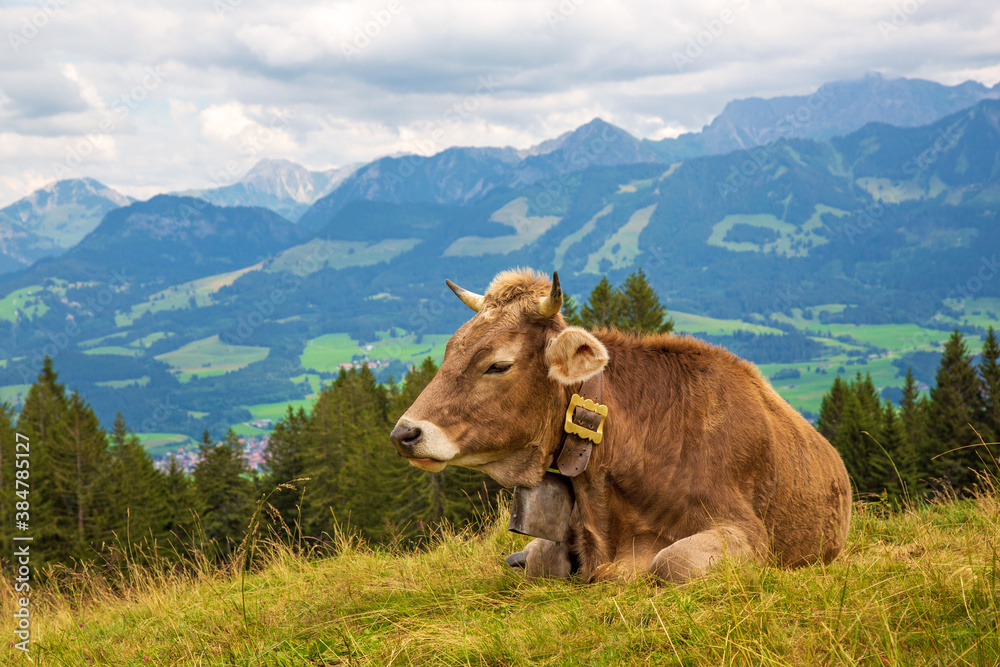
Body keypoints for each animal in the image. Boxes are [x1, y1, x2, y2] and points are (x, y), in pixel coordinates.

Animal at [386, 268, 848, 580]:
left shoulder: (749, 532)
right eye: (450, 349)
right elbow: (540, 558)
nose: (404, 433)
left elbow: (672, 562)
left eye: (498, 365)